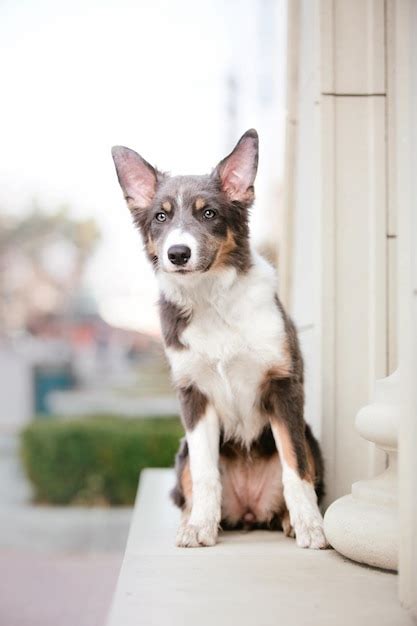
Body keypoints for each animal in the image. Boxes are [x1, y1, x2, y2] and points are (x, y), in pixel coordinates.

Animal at [112, 130, 326, 544]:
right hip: (180, 452)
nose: (178, 253)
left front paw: (311, 525)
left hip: (313, 439)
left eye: (208, 213)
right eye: (161, 216)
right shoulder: (194, 395)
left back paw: (290, 520)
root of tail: (249, 511)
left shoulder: (283, 386)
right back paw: (193, 519)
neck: (211, 299)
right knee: (188, 484)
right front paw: (200, 527)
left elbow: (295, 466)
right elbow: (205, 472)